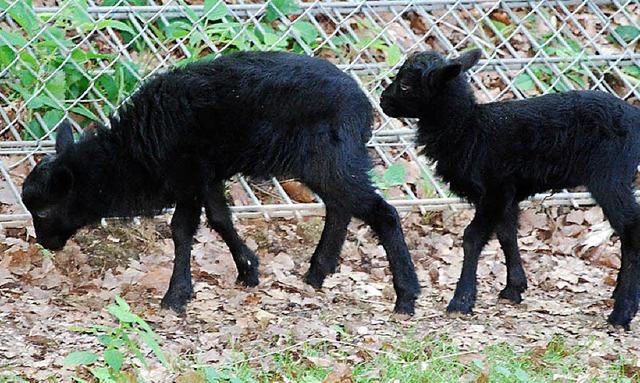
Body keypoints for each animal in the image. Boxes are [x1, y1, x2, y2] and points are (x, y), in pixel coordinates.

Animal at [21, 50, 420, 316]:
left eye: (44, 211)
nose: (45, 244)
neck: (131, 154)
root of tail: (364, 104)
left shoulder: (188, 176)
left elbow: (182, 229)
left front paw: (176, 295)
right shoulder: (207, 176)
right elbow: (220, 219)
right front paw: (248, 270)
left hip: (329, 158)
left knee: (381, 213)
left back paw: (405, 296)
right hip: (324, 163)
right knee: (340, 207)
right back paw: (317, 273)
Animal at [382, 48, 640, 330]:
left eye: (405, 85)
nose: (383, 100)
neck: (466, 128)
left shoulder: (494, 189)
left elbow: (473, 237)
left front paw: (461, 301)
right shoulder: (507, 192)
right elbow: (507, 234)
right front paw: (513, 289)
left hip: (610, 177)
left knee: (631, 229)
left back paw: (622, 311)